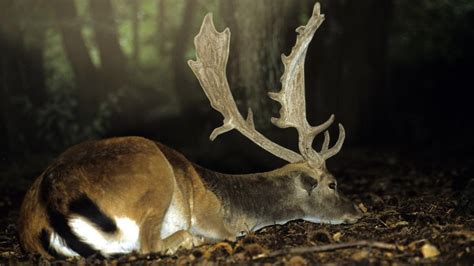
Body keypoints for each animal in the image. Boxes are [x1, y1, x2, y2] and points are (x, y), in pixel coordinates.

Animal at [16, 3, 362, 258]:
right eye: (332, 183)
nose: (357, 211)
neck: (231, 204)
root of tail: (52, 203)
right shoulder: (214, 219)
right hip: (154, 177)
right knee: (149, 244)